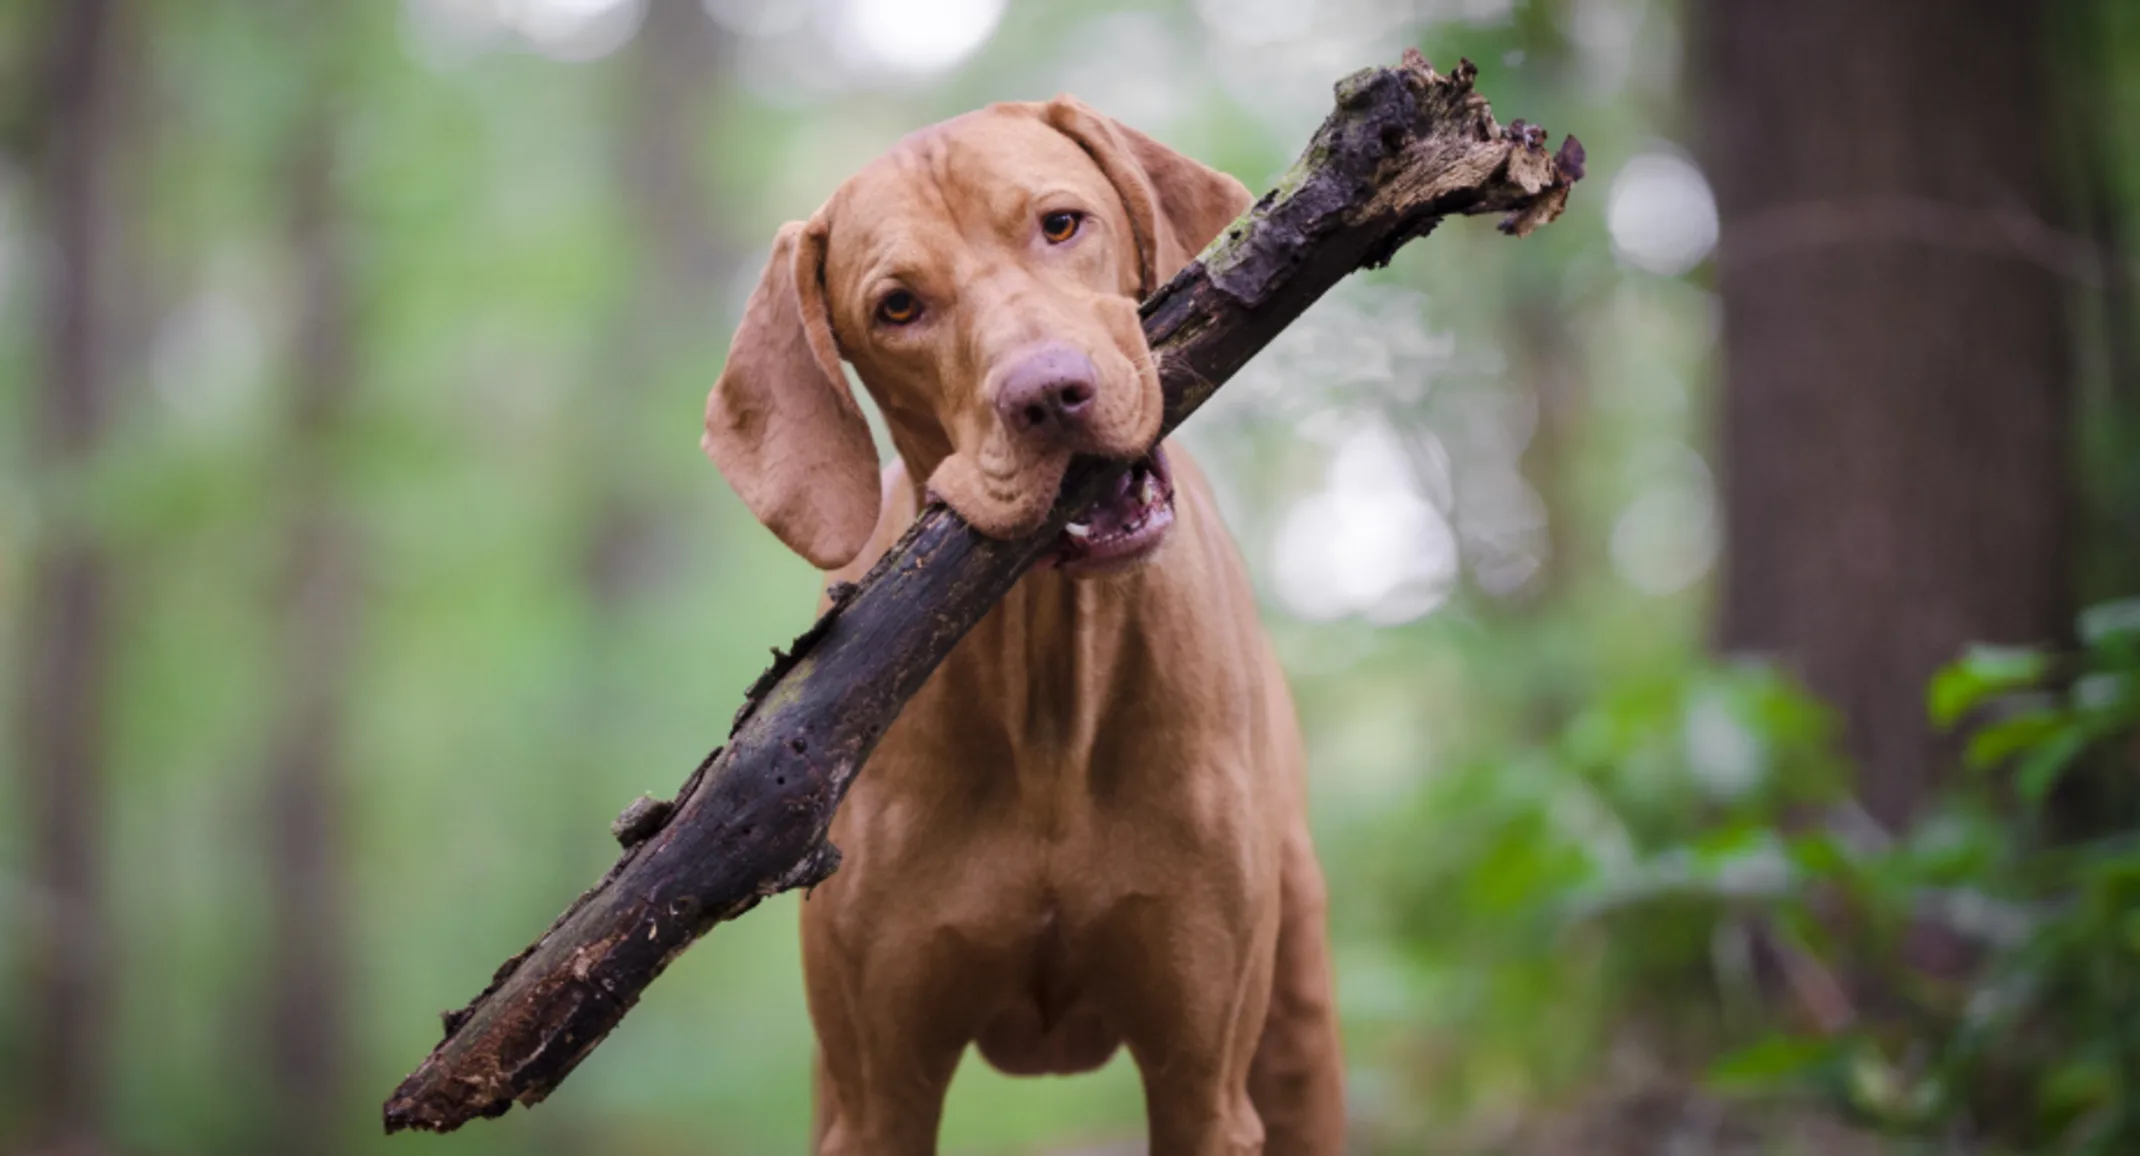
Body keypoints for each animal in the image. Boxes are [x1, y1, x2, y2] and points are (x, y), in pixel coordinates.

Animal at [701, 96, 1335, 1156]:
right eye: (898, 308)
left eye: (1061, 225)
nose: (1048, 396)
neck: (1048, 684)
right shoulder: (881, 1096)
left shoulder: (1203, 1087)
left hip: (1295, 1022)